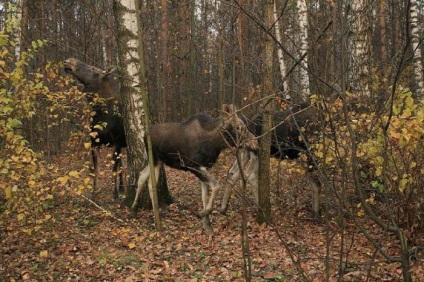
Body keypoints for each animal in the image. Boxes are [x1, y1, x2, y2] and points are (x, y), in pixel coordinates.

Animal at [63, 57, 126, 199]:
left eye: (93, 69)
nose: (69, 61)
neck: (101, 114)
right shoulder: (94, 143)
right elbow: (95, 169)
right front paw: (93, 192)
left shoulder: (117, 142)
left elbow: (113, 168)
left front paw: (115, 194)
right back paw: (122, 187)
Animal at [132, 103, 258, 234]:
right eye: (238, 127)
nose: (255, 143)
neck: (215, 143)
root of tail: (144, 135)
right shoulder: (191, 165)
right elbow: (216, 185)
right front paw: (202, 213)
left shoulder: (206, 166)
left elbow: (205, 196)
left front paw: (207, 226)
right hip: (154, 159)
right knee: (150, 182)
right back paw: (156, 219)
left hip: (158, 161)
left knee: (143, 176)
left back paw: (135, 208)